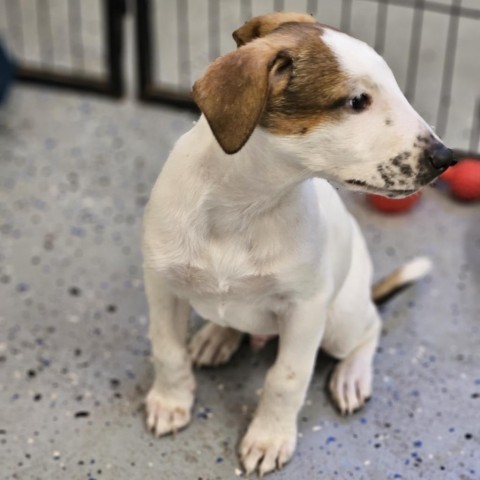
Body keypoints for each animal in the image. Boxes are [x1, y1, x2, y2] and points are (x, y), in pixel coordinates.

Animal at [141, 12, 456, 476]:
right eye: (357, 101)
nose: (446, 158)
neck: (244, 207)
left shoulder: (305, 311)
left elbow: (285, 379)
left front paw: (268, 438)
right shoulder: (162, 286)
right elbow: (167, 350)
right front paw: (171, 401)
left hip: (340, 320)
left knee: (370, 328)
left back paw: (351, 377)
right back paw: (217, 336)